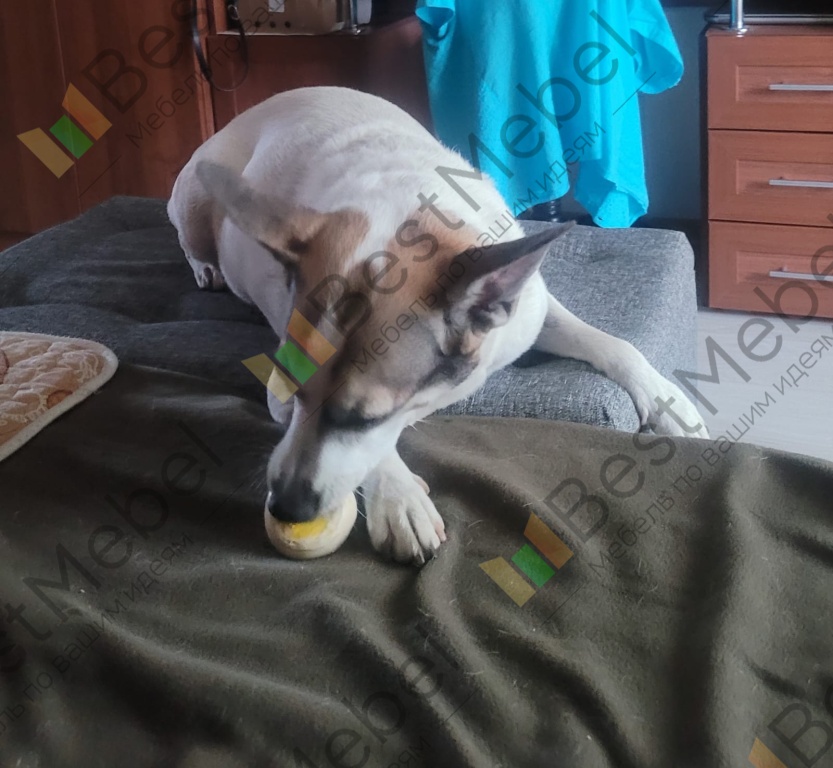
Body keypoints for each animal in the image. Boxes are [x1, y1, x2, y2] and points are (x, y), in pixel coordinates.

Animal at [168, 86, 709, 565]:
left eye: (363, 417)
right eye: (292, 389)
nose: (285, 508)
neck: (412, 219)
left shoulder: (525, 312)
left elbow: (613, 343)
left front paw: (669, 401)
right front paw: (399, 496)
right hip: (196, 195)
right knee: (187, 235)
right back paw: (206, 267)